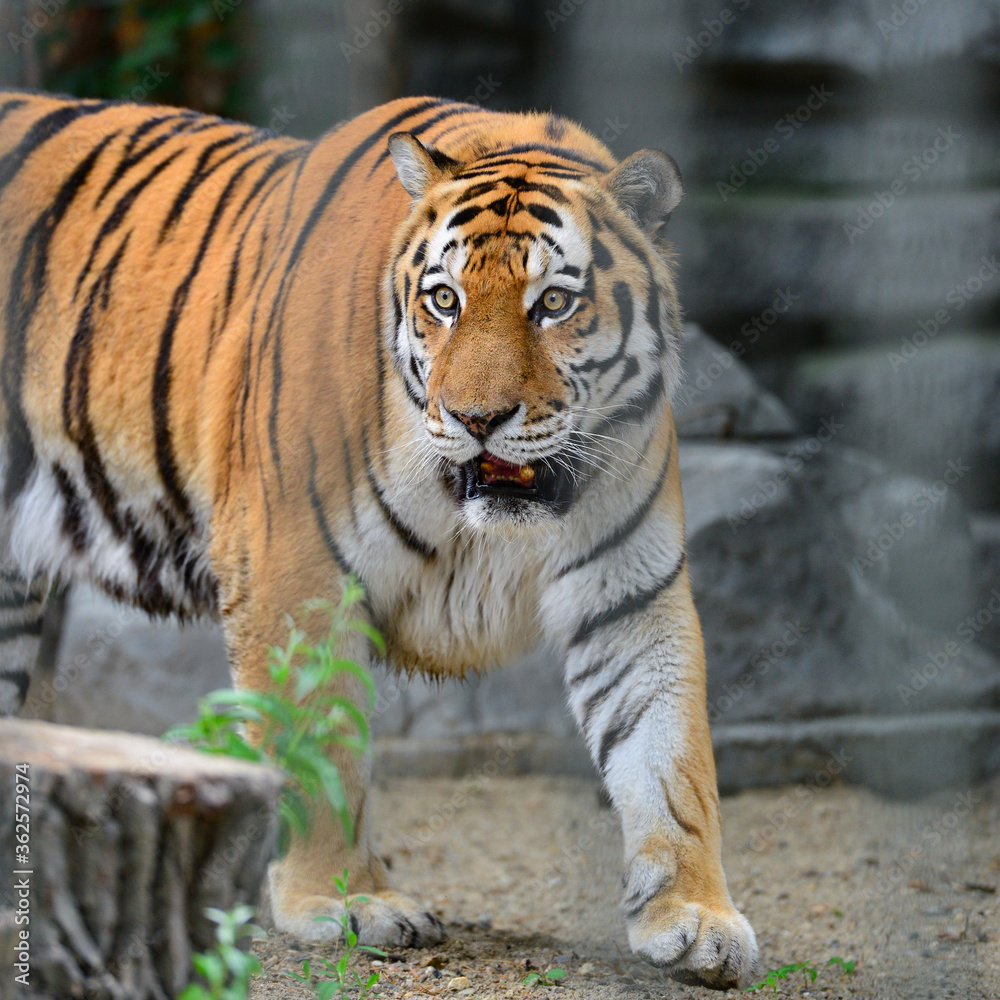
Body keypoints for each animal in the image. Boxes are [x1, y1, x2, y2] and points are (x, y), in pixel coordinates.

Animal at [0, 91, 758, 988]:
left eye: (552, 304)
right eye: (445, 301)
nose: (477, 419)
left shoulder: (632, 592)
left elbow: (670, 755)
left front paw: (695, 915)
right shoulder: (295, 574)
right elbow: (316, 744)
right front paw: (344, 901)